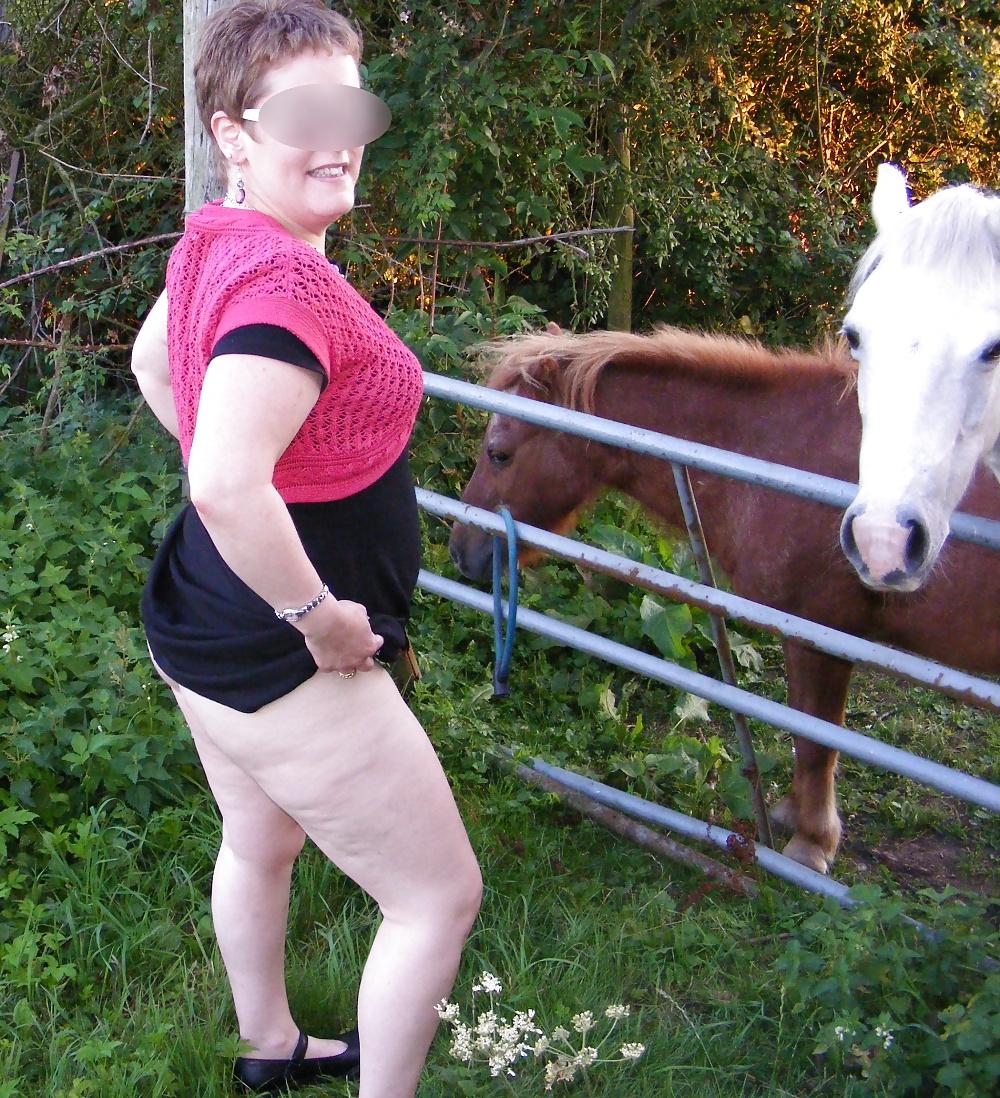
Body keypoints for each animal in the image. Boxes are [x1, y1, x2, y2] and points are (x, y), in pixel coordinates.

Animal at [447, 325, 1000, 874]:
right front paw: (791, 815)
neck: (783, 450)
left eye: (499, 453)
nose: (460, 549)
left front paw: (811, 844)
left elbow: (818, 740)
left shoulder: (823, 633)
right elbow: (802, 729)